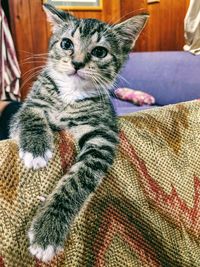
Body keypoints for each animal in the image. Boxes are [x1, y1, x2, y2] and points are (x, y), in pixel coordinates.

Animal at [9, 4, 148, 262]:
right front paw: (36, 149)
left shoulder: (103, 135)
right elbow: (31, 116)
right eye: (66, 44)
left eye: (100, 51)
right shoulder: (29, 105)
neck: (70, 94)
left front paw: (48, 227)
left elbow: (77, 179)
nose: (77, 63)